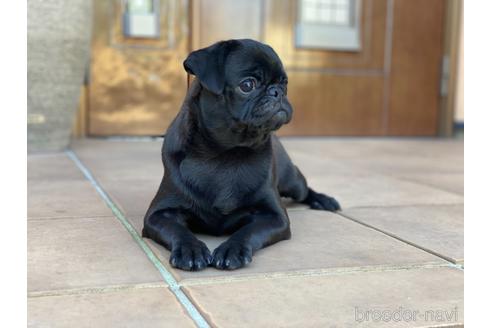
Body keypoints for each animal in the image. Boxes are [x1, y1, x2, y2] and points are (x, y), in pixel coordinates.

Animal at [144, 38, 340, 270]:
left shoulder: (274, 217)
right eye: (247, 85)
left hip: (293, 182)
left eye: (284, 83)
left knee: (304, 189)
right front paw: (189, 249)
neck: (226, 153)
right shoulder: (158, 215)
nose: (277, 92)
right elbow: (177, 230)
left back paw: (323, 200)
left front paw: (232, 249)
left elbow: (249, 231)